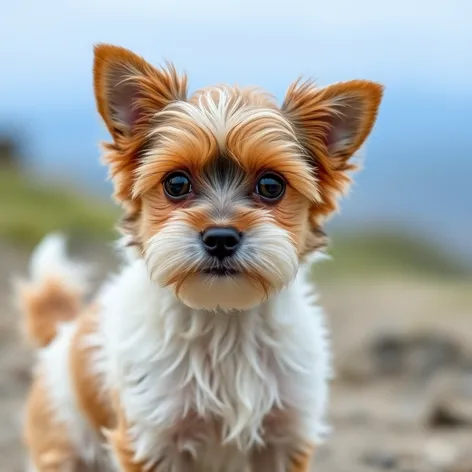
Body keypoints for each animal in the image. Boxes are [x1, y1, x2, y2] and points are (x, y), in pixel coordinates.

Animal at [17, 42, 384, 470]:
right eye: (176, 183)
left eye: (271, 185)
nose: (221, 238)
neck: (223, 317)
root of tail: (63, 332)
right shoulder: (151, 438)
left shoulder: (284, 437)